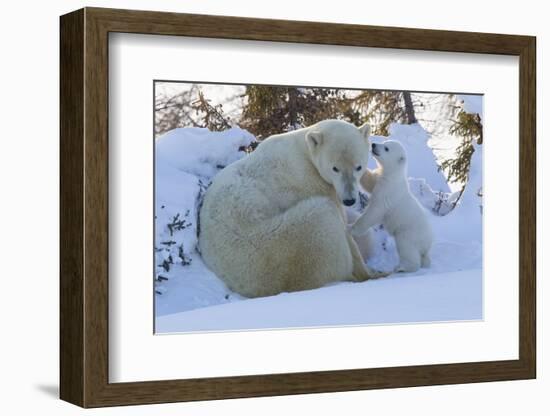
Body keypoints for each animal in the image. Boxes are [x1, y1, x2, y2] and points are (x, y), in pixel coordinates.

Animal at [199, 118, 388, 298]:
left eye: (358, 166)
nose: (349, 200)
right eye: (335, 168)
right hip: (283, 240)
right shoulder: (310, 182)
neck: (304, 151)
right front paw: (370, 271)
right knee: (324, 219)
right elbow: (343, 226)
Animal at [354, 140, 436, 272]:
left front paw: (352, 229)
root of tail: (428, 244)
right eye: (383, 143)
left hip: (408, 232)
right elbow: (370, 182)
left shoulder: (388, 192)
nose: (373, 144)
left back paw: (402, 268)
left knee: (406, 248)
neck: (393, 175)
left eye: (386, 148)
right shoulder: (380, 179)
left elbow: (374, 212)